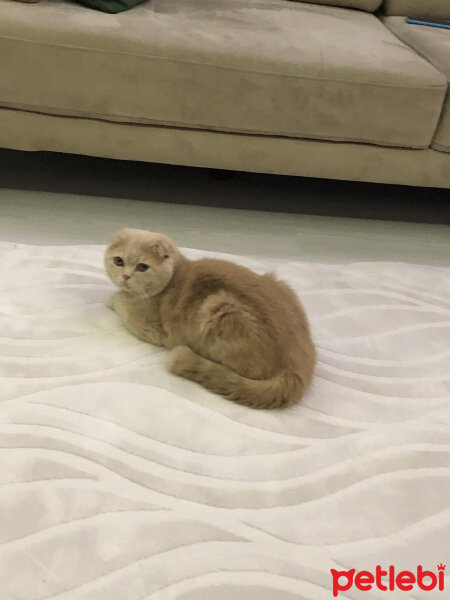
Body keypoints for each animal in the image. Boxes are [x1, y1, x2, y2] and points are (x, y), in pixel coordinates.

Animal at [105, 229, 316, 408]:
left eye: (142, 267)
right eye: (119, 261)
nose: (125, 276)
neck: (172, 277)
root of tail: (300, 362)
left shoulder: (148, 328)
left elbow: (120, 302)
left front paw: (112, 299)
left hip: (219, 307)